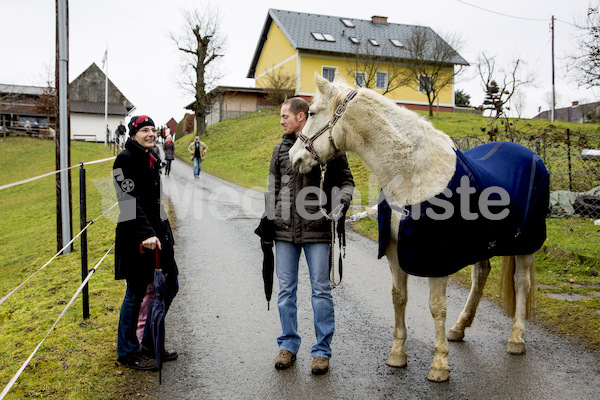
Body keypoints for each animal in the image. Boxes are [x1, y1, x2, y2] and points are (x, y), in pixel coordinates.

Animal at [288, 73, 548, 382]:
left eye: (313, 113)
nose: (293, 157)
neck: (414, 174)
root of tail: (530, 154)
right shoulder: (394, 251)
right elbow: (399, 298)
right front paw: (398, 354)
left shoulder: (436, 258)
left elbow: (436, 307)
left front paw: (440, 365)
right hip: (482, 243)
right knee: (480, 275)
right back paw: (459, 328)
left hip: (526, 245)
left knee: (521, 284)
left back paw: (516, 339)